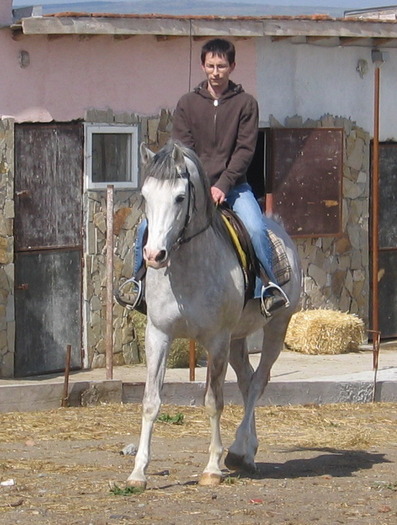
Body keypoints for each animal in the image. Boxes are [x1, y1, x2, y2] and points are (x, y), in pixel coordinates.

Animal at [127, 139, 300, 488]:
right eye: (146, 195)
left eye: (180, 197)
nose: (154, 255)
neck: (188, 268)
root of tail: (279, 228)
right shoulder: (158, 334)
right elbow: (151, 402)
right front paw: (138, 473)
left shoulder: (216, 341)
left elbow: (212, 401)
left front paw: (211, 468)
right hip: (238, 338)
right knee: (247, 381)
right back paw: (244, 452)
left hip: (276, 327)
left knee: (258, 382)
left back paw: (239, 451)